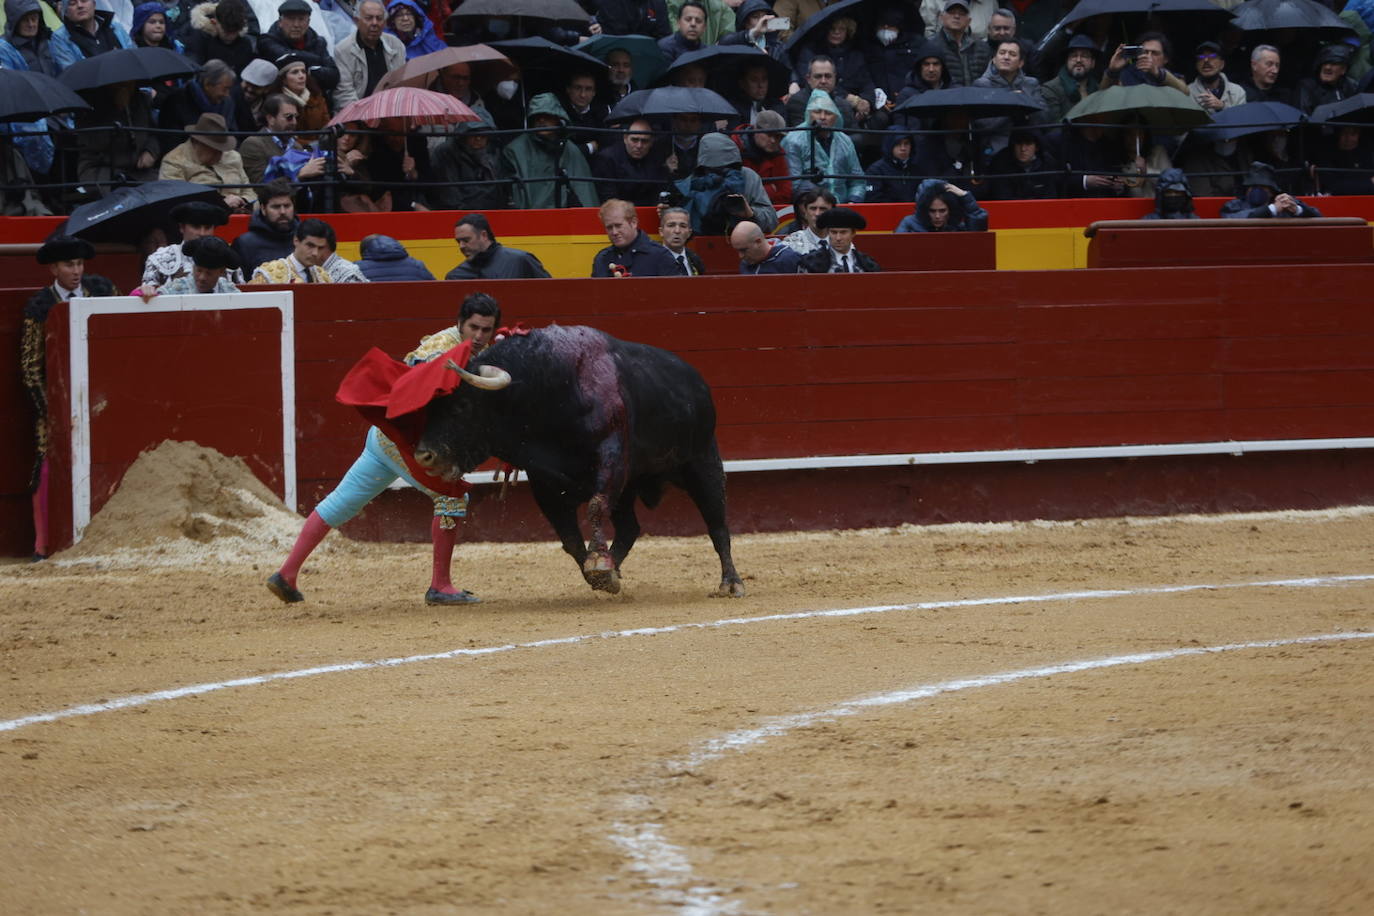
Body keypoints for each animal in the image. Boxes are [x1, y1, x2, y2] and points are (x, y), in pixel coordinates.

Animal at [412, 325, 747, 598]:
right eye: (429, 409)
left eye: (462, 406)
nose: (423, 455)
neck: (548, 390)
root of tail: (696, 380)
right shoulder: (545, 483)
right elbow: (569, 537)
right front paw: (600, 571)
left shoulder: (612, 459)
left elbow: (595, 507)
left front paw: (598, 563)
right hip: (631, 488)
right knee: (630, 527)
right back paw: (614, 569)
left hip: (702, 463)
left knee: (717, 522)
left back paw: (731, 583)